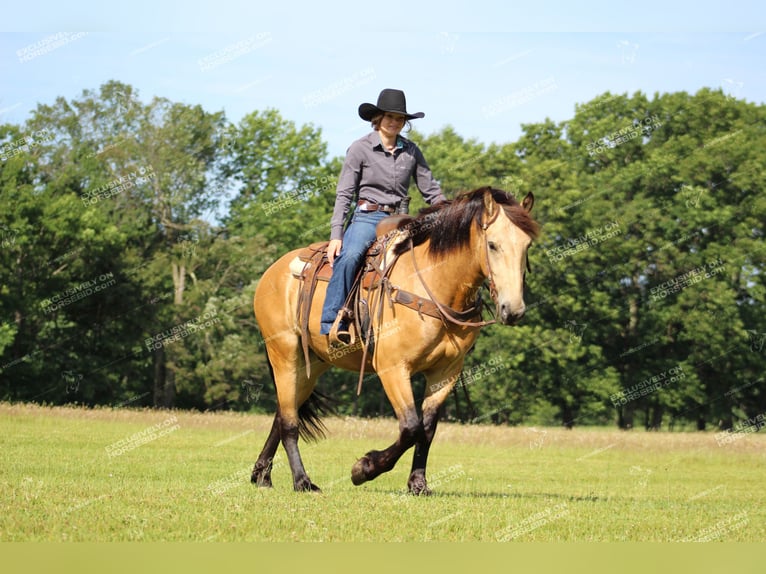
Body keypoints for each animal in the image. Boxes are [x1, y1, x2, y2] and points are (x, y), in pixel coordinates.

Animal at [252, 188, 540, 496]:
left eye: (527, 246)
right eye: (493, 245)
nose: (514, 310)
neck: (433, 282)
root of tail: (273, 271)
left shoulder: (446, 372)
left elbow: (427, 429)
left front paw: (418, 484)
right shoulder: (392, 368)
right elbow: (411, 427)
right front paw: (364, 468)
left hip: (311, 366)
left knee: (283, 414)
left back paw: (262, 476)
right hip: (284, 354)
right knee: (289, 422)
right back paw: (301, 481)